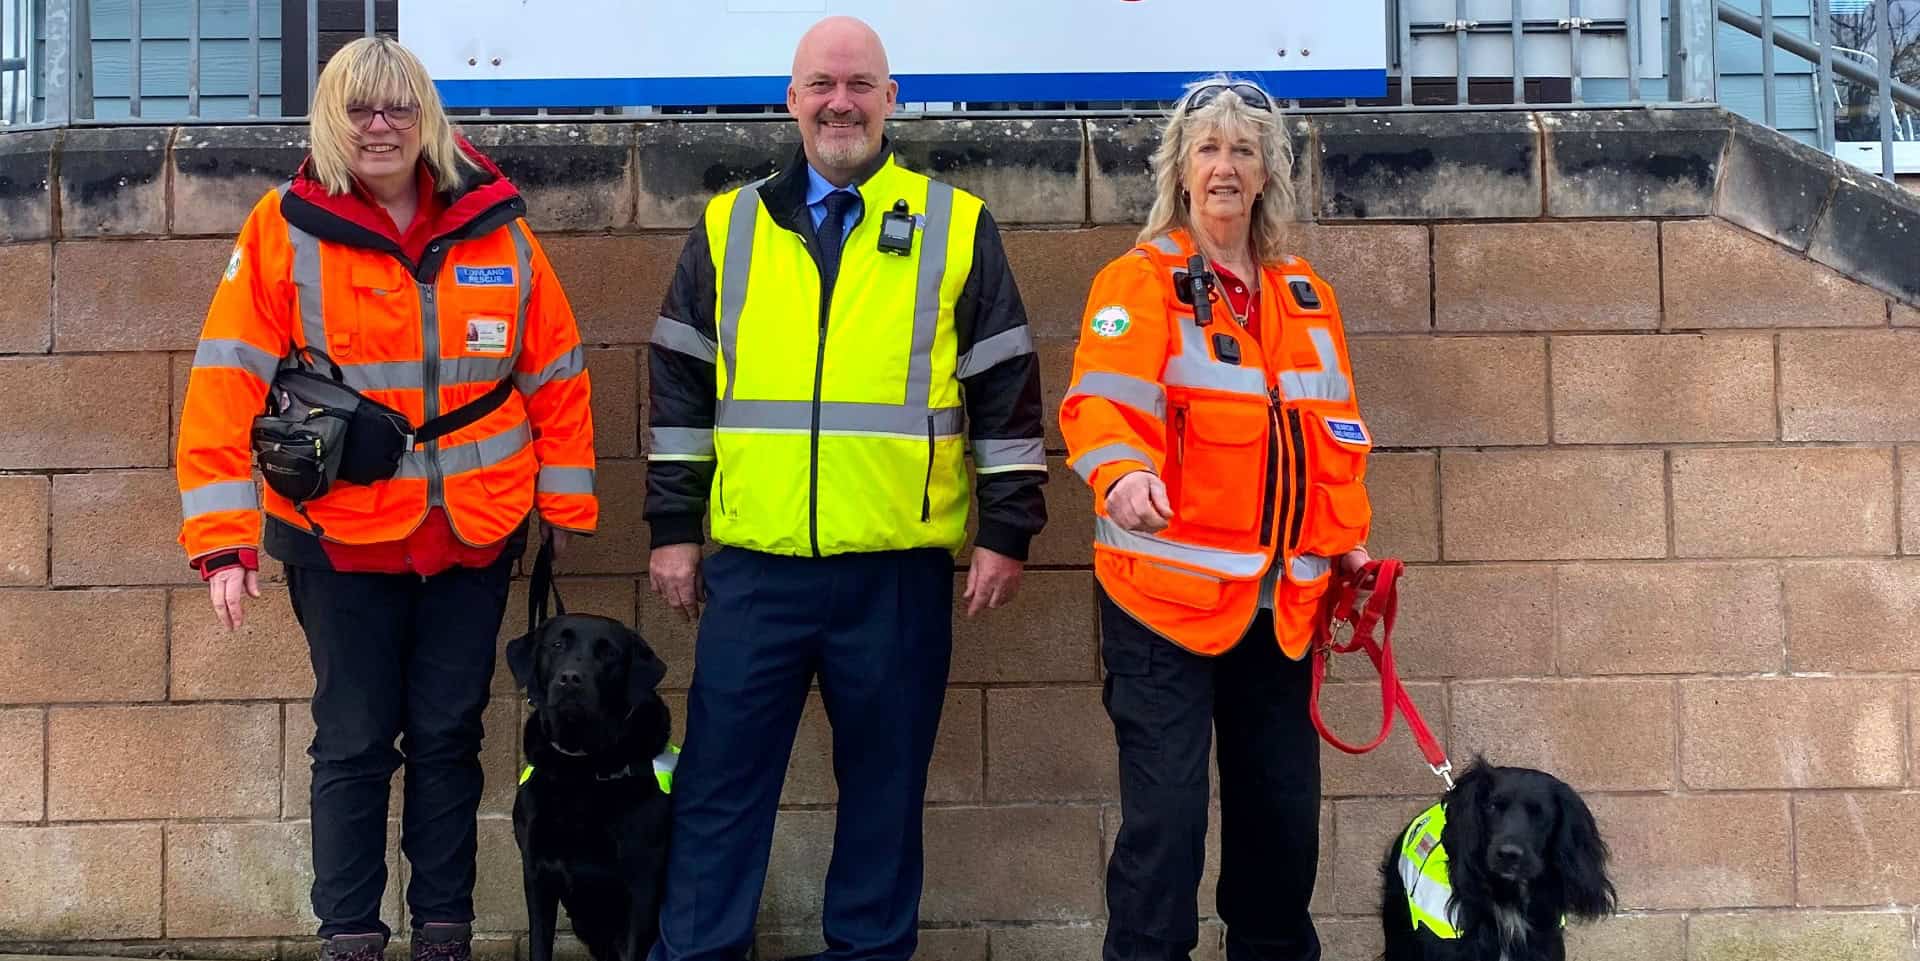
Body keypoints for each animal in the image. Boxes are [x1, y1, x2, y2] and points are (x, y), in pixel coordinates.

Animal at [510, 613, 675, 959]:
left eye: (608, 652)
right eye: (557, 644)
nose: (570, 679)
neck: (581, 767)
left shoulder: (641, 879)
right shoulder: (536, 872)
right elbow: (539, 943)